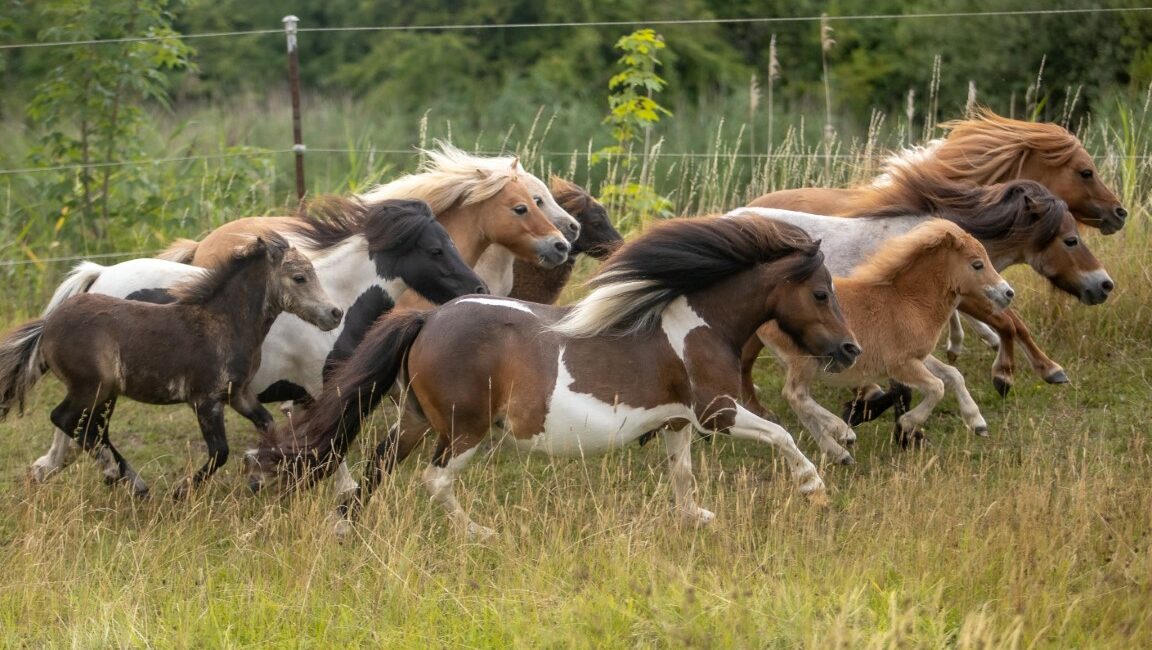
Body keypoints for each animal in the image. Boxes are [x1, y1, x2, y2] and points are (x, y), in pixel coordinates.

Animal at [240, 215, 857, 534]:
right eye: (821, 293)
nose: (850, 349)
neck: (696, 322)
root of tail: (429, 318)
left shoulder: (679, 420)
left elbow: (681, 474)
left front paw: (697, 518)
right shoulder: (718, 412)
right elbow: (781, 434)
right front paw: (817, 489)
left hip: (416, 421)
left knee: (376, 466)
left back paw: (345, 528)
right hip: (466, 431)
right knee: (433, 480)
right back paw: (478, 533)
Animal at [760, 221, 1013, 458]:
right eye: (977, 264)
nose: (1008, 293)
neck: (909, 302)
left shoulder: (918, 357)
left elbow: (953, 375)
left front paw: (977, 422)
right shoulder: (900, 364)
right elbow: (936, 387)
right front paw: (906, 423)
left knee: (800, 402)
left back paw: (838, 452)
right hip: (804, 361)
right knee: (795, 395)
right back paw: (843, 432)